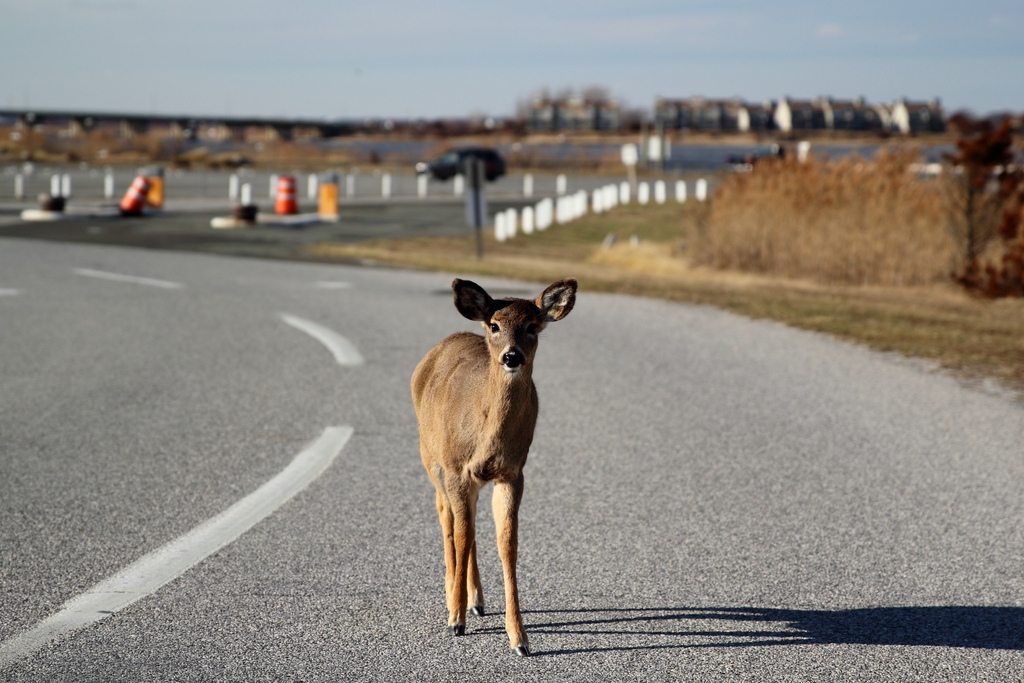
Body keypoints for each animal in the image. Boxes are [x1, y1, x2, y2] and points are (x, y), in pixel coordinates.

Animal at [411, 276, 581, 655]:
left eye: (532, 326)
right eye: (494, 325)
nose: (512, 356)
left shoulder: (513, 473)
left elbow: (507, 543)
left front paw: (519, 638)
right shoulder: (456, 468)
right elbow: (461, 533)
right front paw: (455, 620)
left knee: (467, 522)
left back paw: (477, 600)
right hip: (431, 455)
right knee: (447, 516)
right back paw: (454, 596)